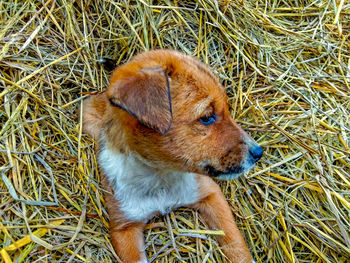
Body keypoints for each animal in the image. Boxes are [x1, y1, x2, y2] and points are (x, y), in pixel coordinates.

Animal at [82, 50, 262, 263]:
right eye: (206, 117)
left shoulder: (210, 193)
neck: (160, 175)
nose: (258, 153)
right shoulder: (124, 226)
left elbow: (236, 245)